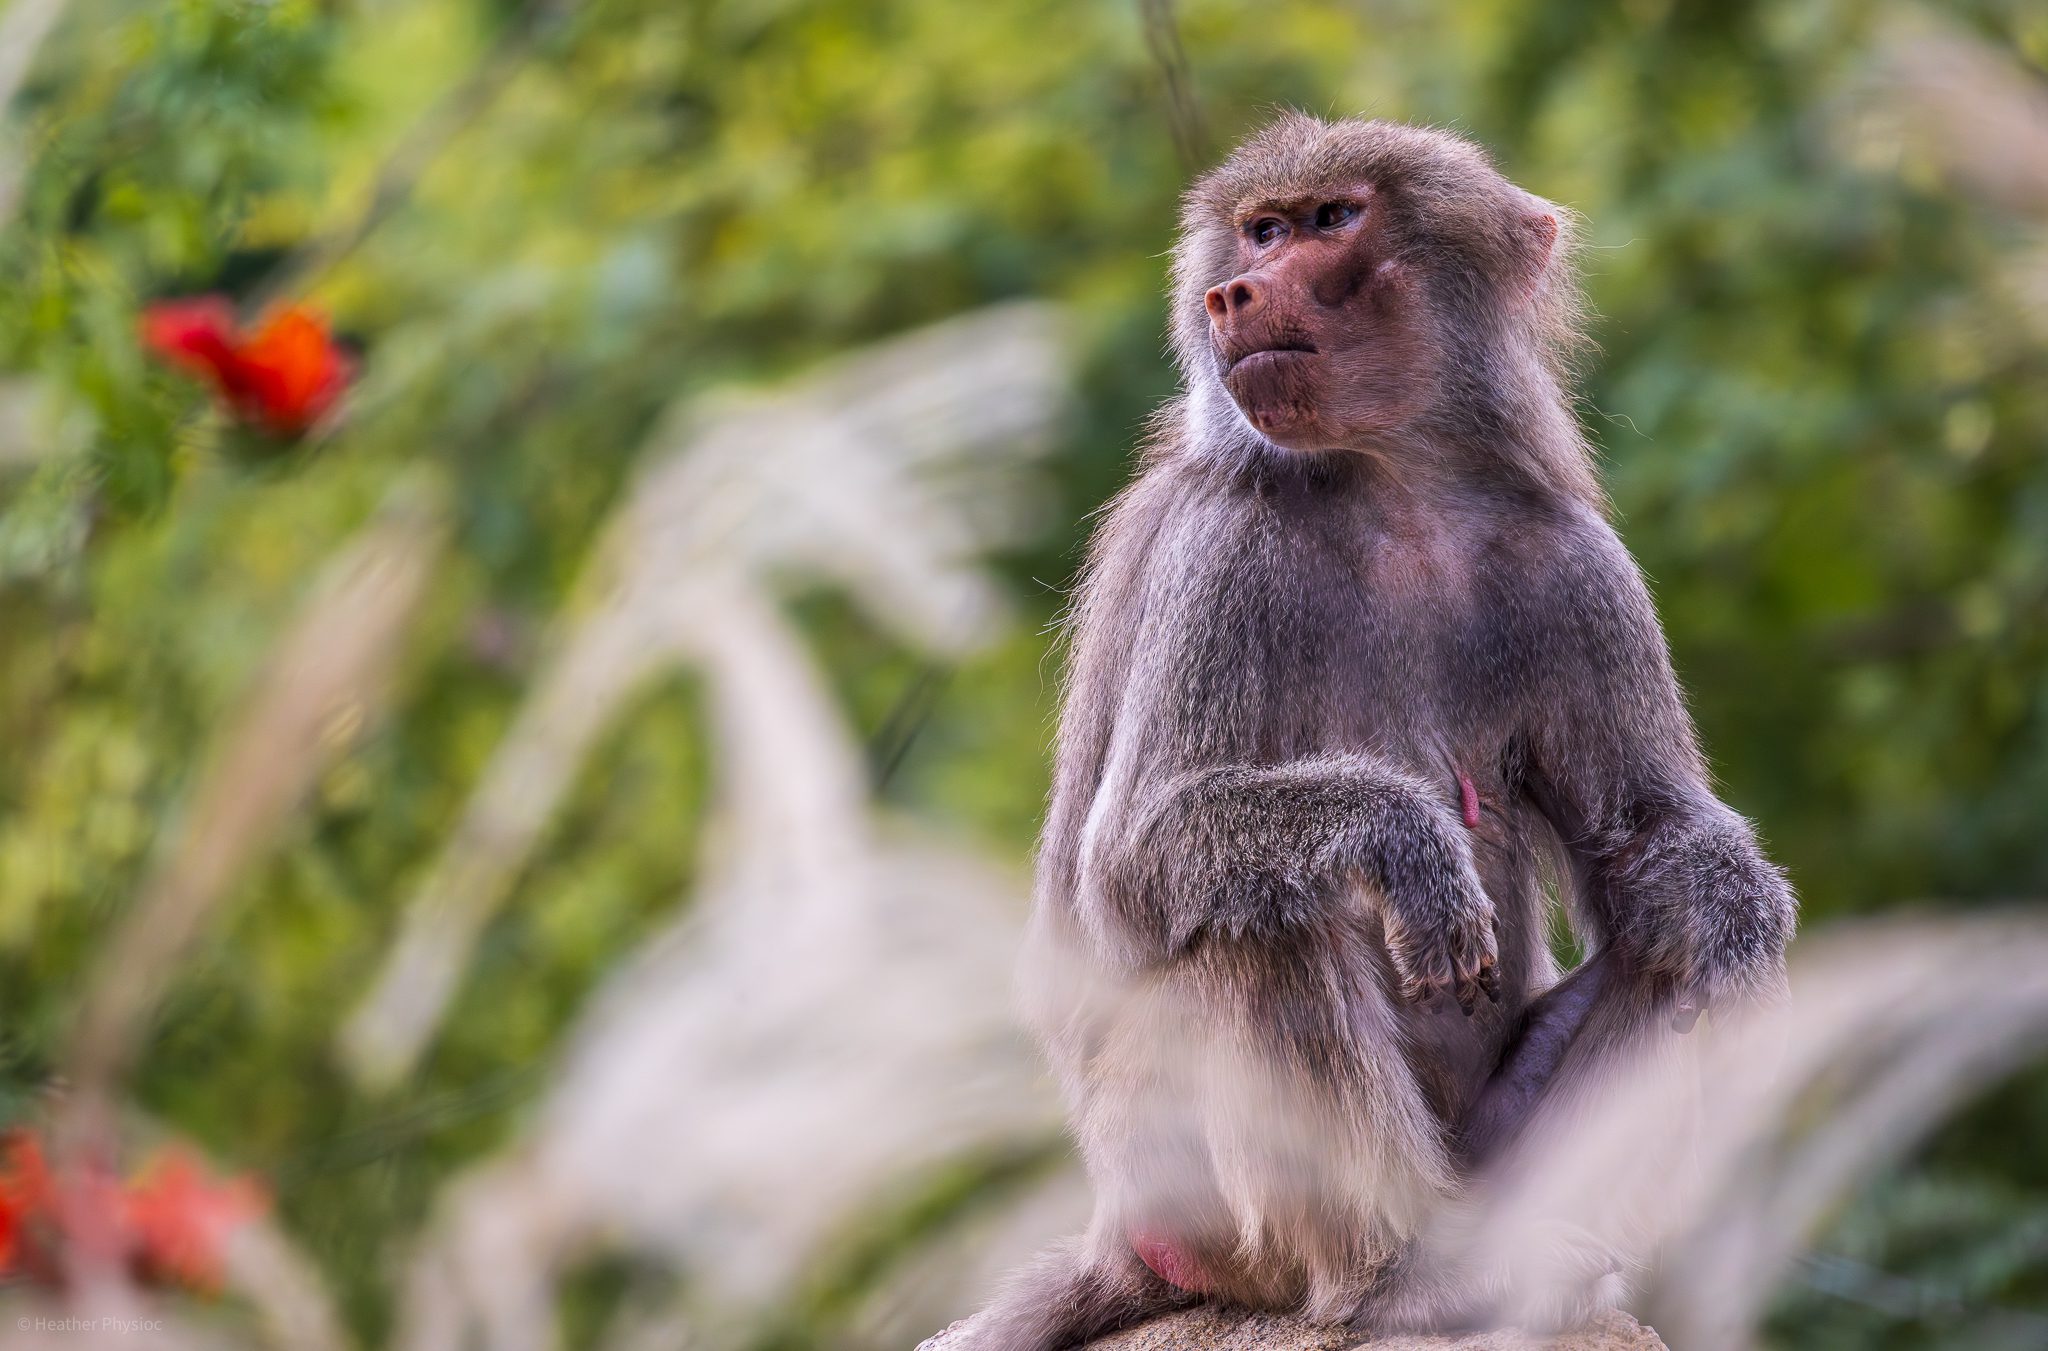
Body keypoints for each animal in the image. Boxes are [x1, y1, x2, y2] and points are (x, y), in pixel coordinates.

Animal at [954, 115, 1798, 1350]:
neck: (1395, 483)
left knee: (1659, 929)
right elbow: (1130, 858)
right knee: (1263, 923)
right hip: (1192, 1192)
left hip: (1485, 1159)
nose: (1233, 292)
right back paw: (1401, 1280)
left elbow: (1644, 840)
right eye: (1261, 229)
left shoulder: (1583, 567)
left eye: (1329, 220)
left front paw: (1740, 917)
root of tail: (1119, 1227)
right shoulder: (1223, 548)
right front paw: (1406, 843)